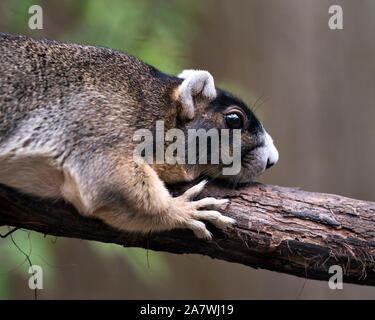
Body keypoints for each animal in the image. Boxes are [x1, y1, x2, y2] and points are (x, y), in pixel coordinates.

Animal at [0, 33, 278, 239]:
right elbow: (108, 183)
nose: (272, 160)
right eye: (234, 119)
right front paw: (185, 209)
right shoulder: (97, 126)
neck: (152, 107)